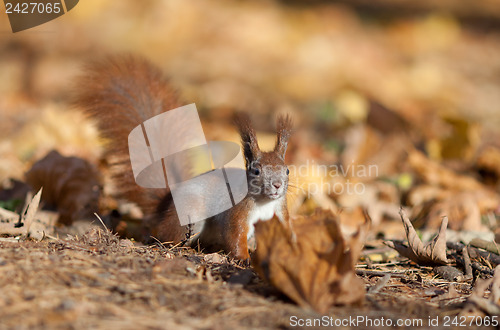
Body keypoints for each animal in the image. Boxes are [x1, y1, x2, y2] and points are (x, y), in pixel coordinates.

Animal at [75, 56, 292, 260]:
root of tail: (166, 206)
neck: (265, 203)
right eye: (256, 170)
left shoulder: (280, 216)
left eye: (287, 170)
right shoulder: (238, 212)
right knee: (168, 236)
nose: (277, 185)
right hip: (191, 216)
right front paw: (244, 259)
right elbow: (235, 236)